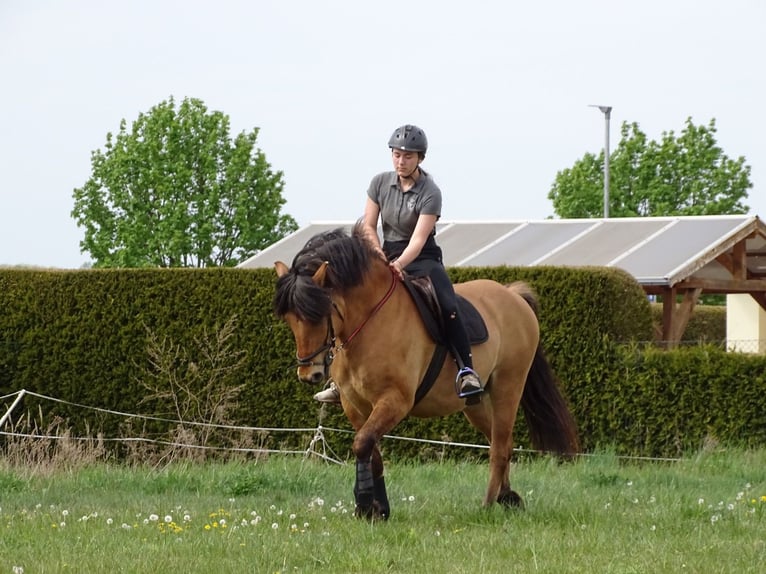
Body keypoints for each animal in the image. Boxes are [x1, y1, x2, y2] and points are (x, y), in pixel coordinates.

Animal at [272, 225, 580, 520]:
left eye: (318, 313)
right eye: (288, 318)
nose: (309, 374)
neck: (369, 321)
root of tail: (512, 295)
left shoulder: (394, 401)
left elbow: (362, 444)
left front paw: (364, 506)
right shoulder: (354, 405)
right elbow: (371, 452)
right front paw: (379, 509)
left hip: (508, 387)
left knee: (499, 447)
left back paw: (488, 504)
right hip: (476, 404)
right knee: (501, 440)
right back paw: (507, 497)